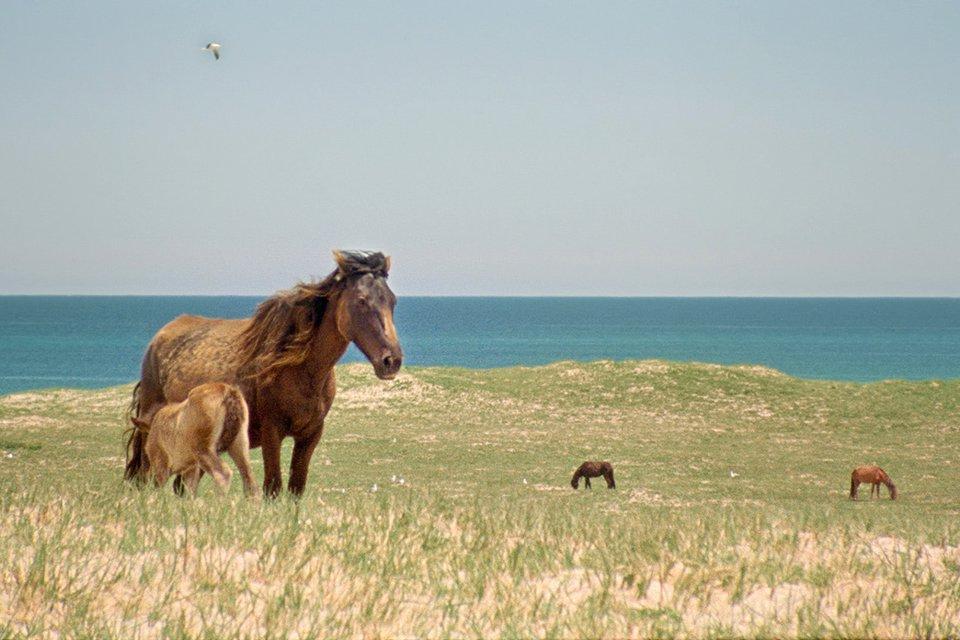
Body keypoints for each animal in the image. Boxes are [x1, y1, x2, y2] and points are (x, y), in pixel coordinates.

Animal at [124, 252, 402, 498]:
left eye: (392, 300)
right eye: (362, 300)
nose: (392, 361)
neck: (302, 371)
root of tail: (159, 338)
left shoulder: (310, 435)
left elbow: (296, 488)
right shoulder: (272, 433)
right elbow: (273, 488)